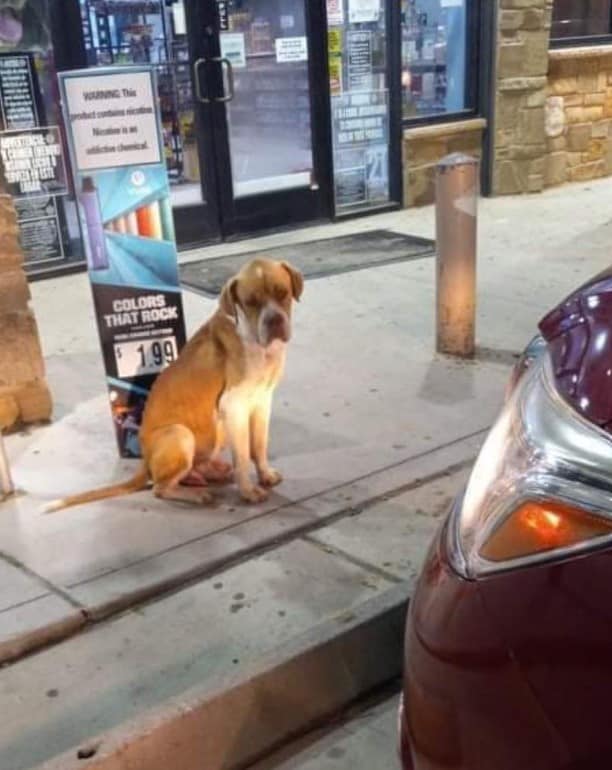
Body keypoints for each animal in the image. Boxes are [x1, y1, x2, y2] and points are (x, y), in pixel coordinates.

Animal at [46, 258, 304, 510]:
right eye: (250, 302)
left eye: (283, 292)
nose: (274, 320)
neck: (253, 339)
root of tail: (145, 461)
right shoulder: (234, 406)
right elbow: (242, 456)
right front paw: (249, 491)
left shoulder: (262, 402)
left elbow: (259, 446)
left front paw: (265, 474)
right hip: (180, 433)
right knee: (160, 488)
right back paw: (196, 495)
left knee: (193, 468)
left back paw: (209, 473)